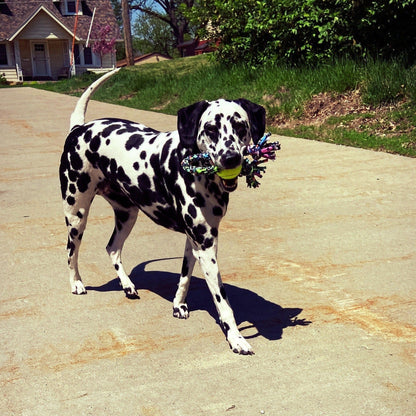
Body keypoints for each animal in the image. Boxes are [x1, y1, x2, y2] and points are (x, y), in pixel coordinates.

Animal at [59, 69, 266, 354]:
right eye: (211, 129)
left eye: (240, 126)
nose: (230, 159)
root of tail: (79, 129)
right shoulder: (206, 247)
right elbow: (223, 302)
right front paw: (236, 338)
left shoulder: (196, 241)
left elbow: (185, 277)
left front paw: (178, 305)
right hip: (76, 214)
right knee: (71, 252)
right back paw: (76, 283)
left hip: (127, 215)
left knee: (112, 248)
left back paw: (127, 285)